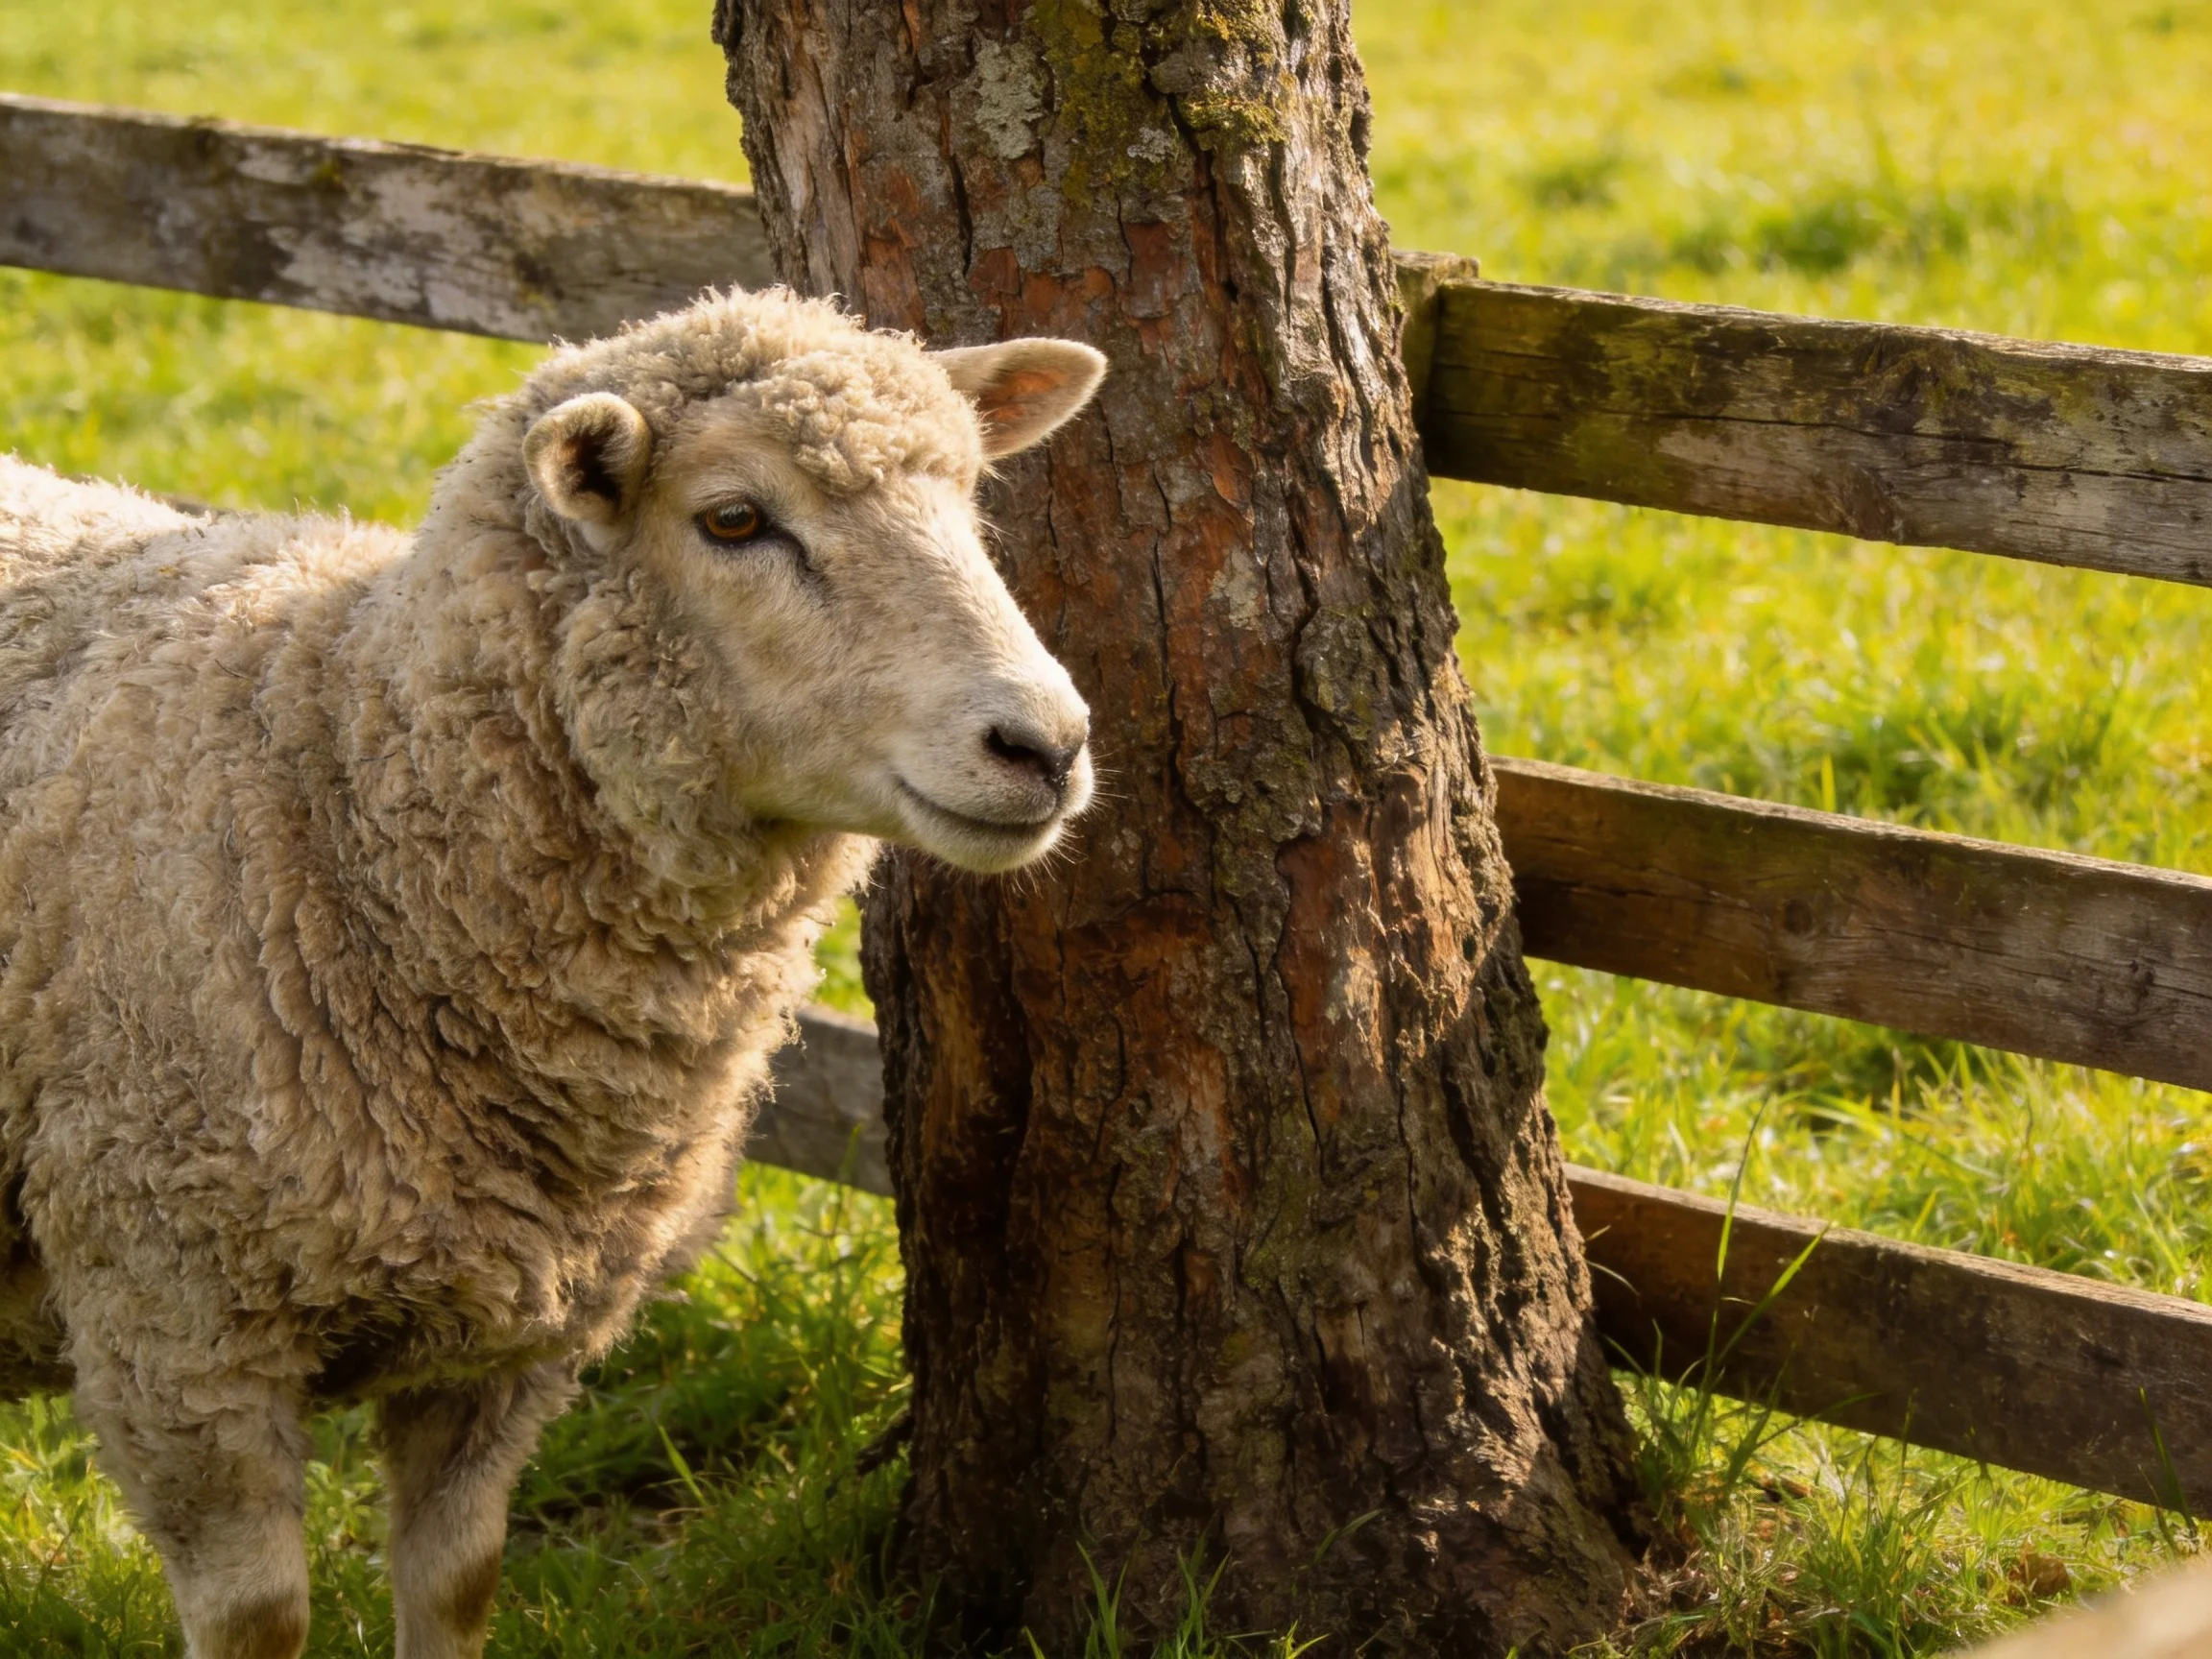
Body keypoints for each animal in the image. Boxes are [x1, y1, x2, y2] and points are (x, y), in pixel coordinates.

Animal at [0, 287, 1105, 1659]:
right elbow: (261, 1619)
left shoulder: (508, 1350)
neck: (346, 803)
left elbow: (458, 1584)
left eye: (968, 498)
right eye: (733, 519)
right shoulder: (177, 1325)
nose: (1045, 745)